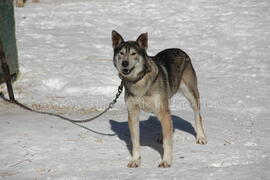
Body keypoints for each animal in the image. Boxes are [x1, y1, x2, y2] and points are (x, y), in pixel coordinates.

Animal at [111, 30, 207, 167]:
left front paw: (166, 161)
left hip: (190, 95)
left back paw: (201, 137)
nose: (125, 63)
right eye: (121, 53)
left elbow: (168, 142)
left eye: (134, 53)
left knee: (197, 116)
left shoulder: (162, 109)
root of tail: (179, 50)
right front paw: (135, 160)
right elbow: (135, 143)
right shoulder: (133, 114)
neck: (139, 81)